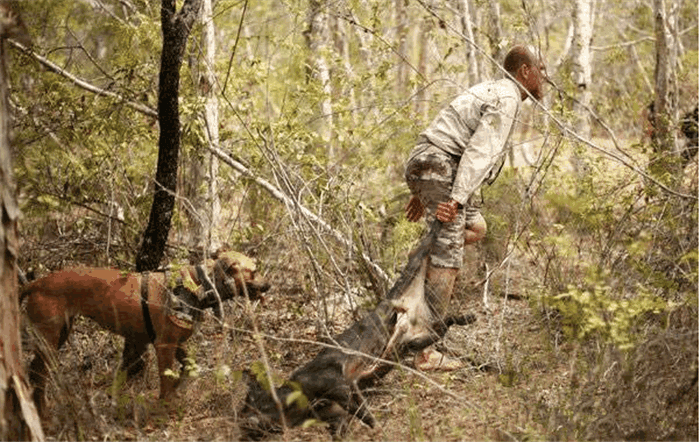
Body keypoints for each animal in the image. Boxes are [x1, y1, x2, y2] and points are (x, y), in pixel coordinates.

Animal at [20, 250, 272, 416]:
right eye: (254, 271)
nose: (269, 285)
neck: (200, 284)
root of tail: (36, 284)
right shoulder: (165, 346)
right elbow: (166, 379)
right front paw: (166, 405)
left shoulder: (178, 344)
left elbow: (188, 368)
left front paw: (178, 388)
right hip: (50, 340)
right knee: (39, 375)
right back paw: (43, 412)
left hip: (60, 334)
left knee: (33, 371)